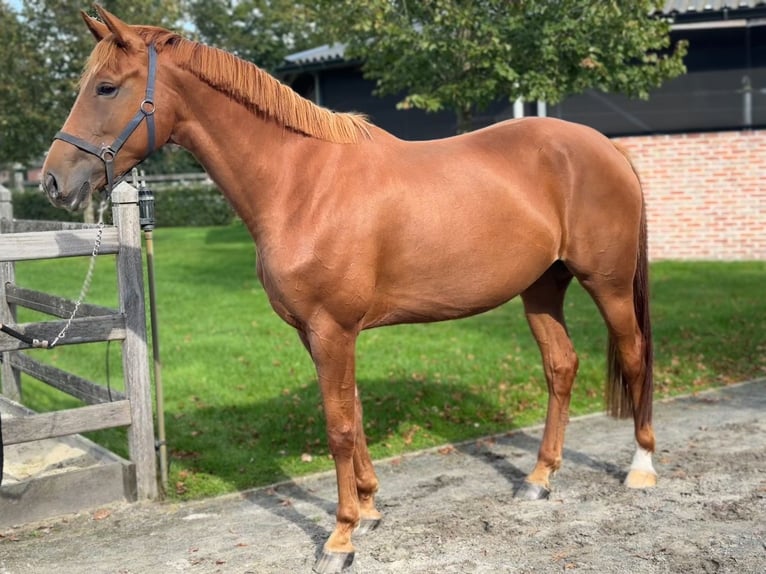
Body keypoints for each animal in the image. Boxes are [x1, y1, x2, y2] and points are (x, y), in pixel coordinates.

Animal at [42, 5, 656, 574]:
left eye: (106, 87)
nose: (53, 181)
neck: (301, 183)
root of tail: (607, 149)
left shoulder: (332, 329)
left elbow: (337, 427)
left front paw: (340, 537)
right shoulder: (319, 333)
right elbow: (354, 413)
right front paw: (369, 508)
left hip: (607, 284)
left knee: (633, 354)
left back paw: (641, 467)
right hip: (541, 289)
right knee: (561, 366)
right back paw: (539, 478)